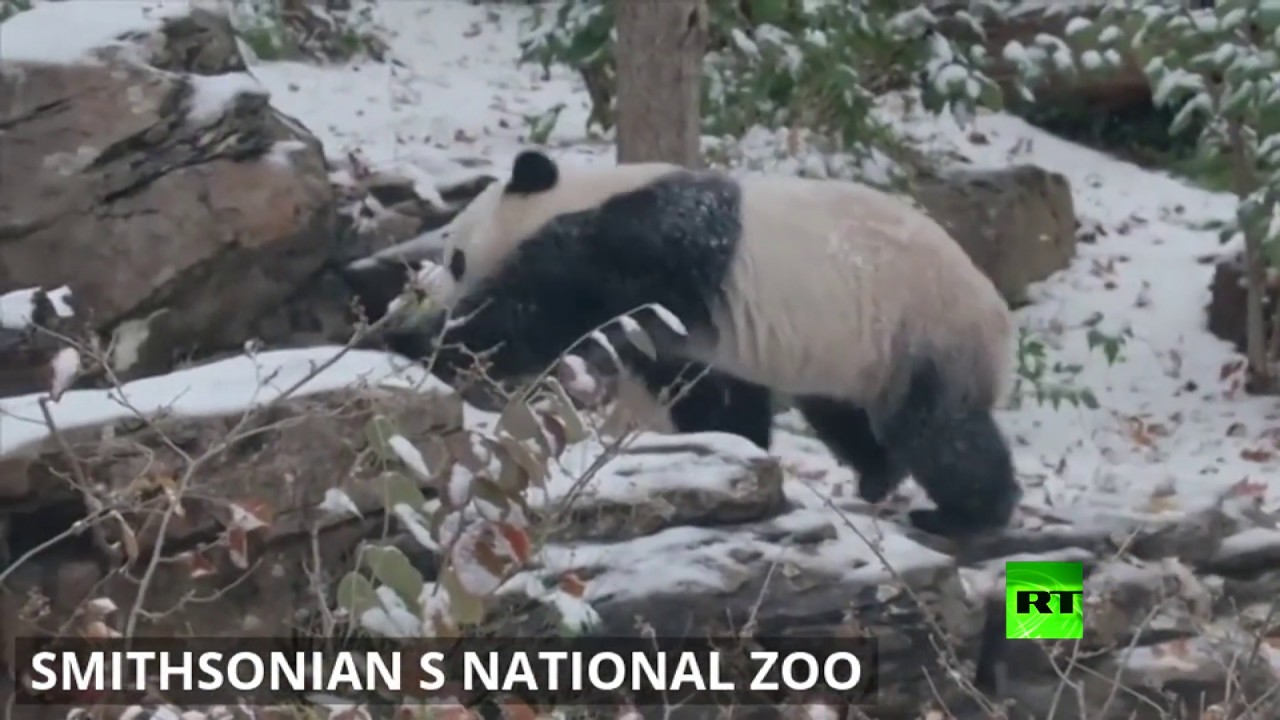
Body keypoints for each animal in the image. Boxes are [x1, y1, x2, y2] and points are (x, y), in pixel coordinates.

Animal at [356, 149, 1021, 538]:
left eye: (457, 256)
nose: (434, 288)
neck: (582, 194)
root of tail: (999, 315)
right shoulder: (690, 328)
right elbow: (711, 393)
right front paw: (737, 452)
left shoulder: (635, 248)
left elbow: (532, 320)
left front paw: (417, 337)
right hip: (851, 347)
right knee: (843, 414)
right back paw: (878, 477)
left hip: (923, 329)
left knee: (940, 432)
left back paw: (965, 515)